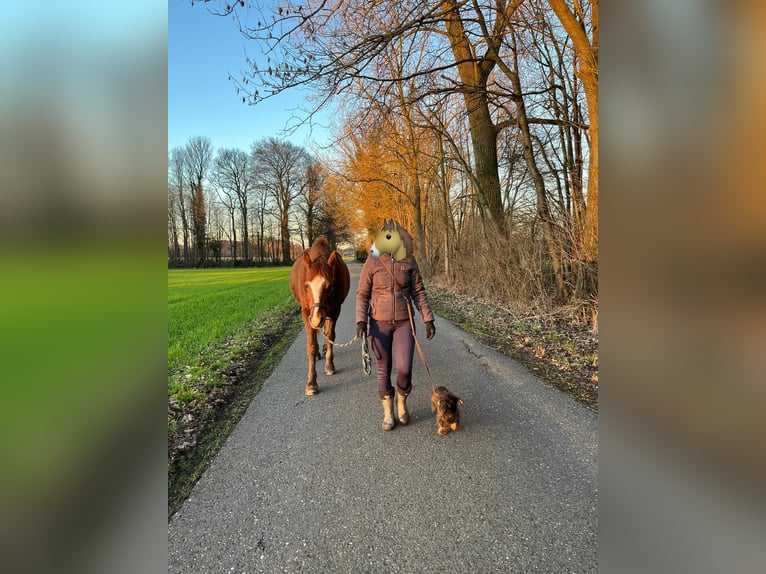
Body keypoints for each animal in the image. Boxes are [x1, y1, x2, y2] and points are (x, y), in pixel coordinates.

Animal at [290, 237, 352, 396]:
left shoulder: (335, 311)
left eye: (331, 286)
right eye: (306, 286)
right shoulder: (306, 313)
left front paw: (329, 365)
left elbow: (330, 336)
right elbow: (311, 345)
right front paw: (311, 382)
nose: (317, 318)